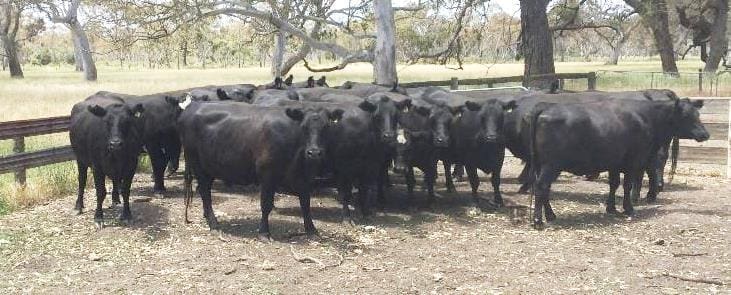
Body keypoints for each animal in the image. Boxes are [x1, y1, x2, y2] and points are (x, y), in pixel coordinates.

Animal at [70, 95, 146, 229]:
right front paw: (98, 217)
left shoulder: (131, 165)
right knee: (81, 181)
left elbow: (126, 191)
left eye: (127, 121)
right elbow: (100, 192)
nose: (115, 144)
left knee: (115, 181)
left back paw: (115, 199)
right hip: (80, 159)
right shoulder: (97, 167)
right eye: (106, 122)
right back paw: (78, 206)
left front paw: (127, 215)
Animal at [182, 102, 344, 240]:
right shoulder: (267, 174)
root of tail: (192, 106)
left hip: (208, 168)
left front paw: (311, 230)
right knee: (205, 192)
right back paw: (213, 223)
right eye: (303, 126)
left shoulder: (303, 176)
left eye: (326, 127)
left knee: (204, 191)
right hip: (197, 164)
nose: (314, 152)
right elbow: (266, 204)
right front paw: (264, 232)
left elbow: (305, 204)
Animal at [528, 100, 708, 229]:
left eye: (698, 113)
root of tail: (545, 107)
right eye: (687, 115)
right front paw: (628, 208)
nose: (706, 134)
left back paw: (550, 215)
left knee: (544, 188)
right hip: (550, 165)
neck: (645, 117)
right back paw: (538, 221)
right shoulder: (633, 162)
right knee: (541, 186)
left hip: (541, 165)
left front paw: (611, 208)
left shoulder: (614, 163)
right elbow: (627, 185)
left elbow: (613, 184)